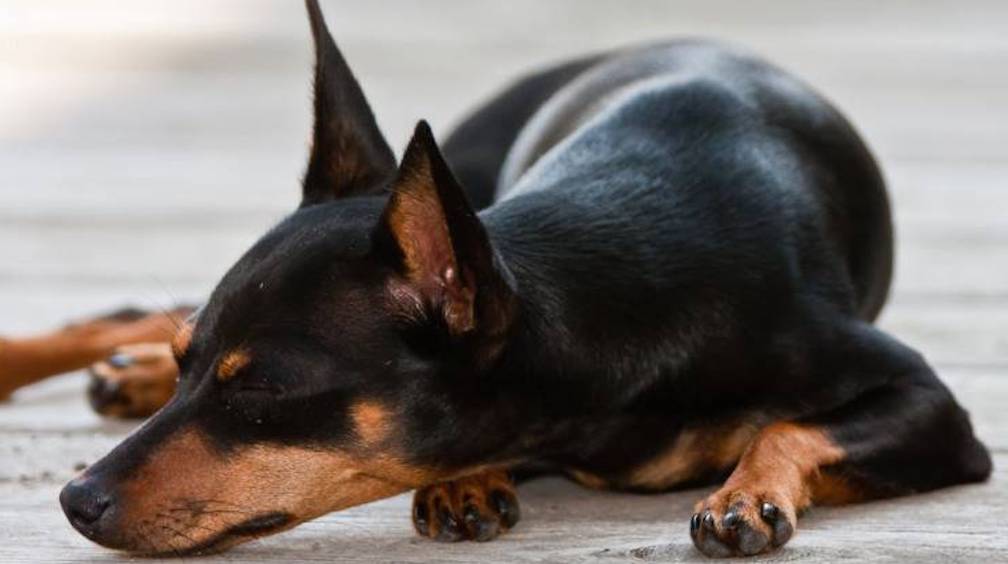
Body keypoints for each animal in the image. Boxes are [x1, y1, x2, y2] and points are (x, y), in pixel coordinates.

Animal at [5, 0, 991, 555]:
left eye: (264, 394)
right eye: (194, 368)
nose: (74, 501)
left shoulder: (938, 411)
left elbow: (789, 425)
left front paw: (747, 491)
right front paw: (469, 476)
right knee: (135, 309)